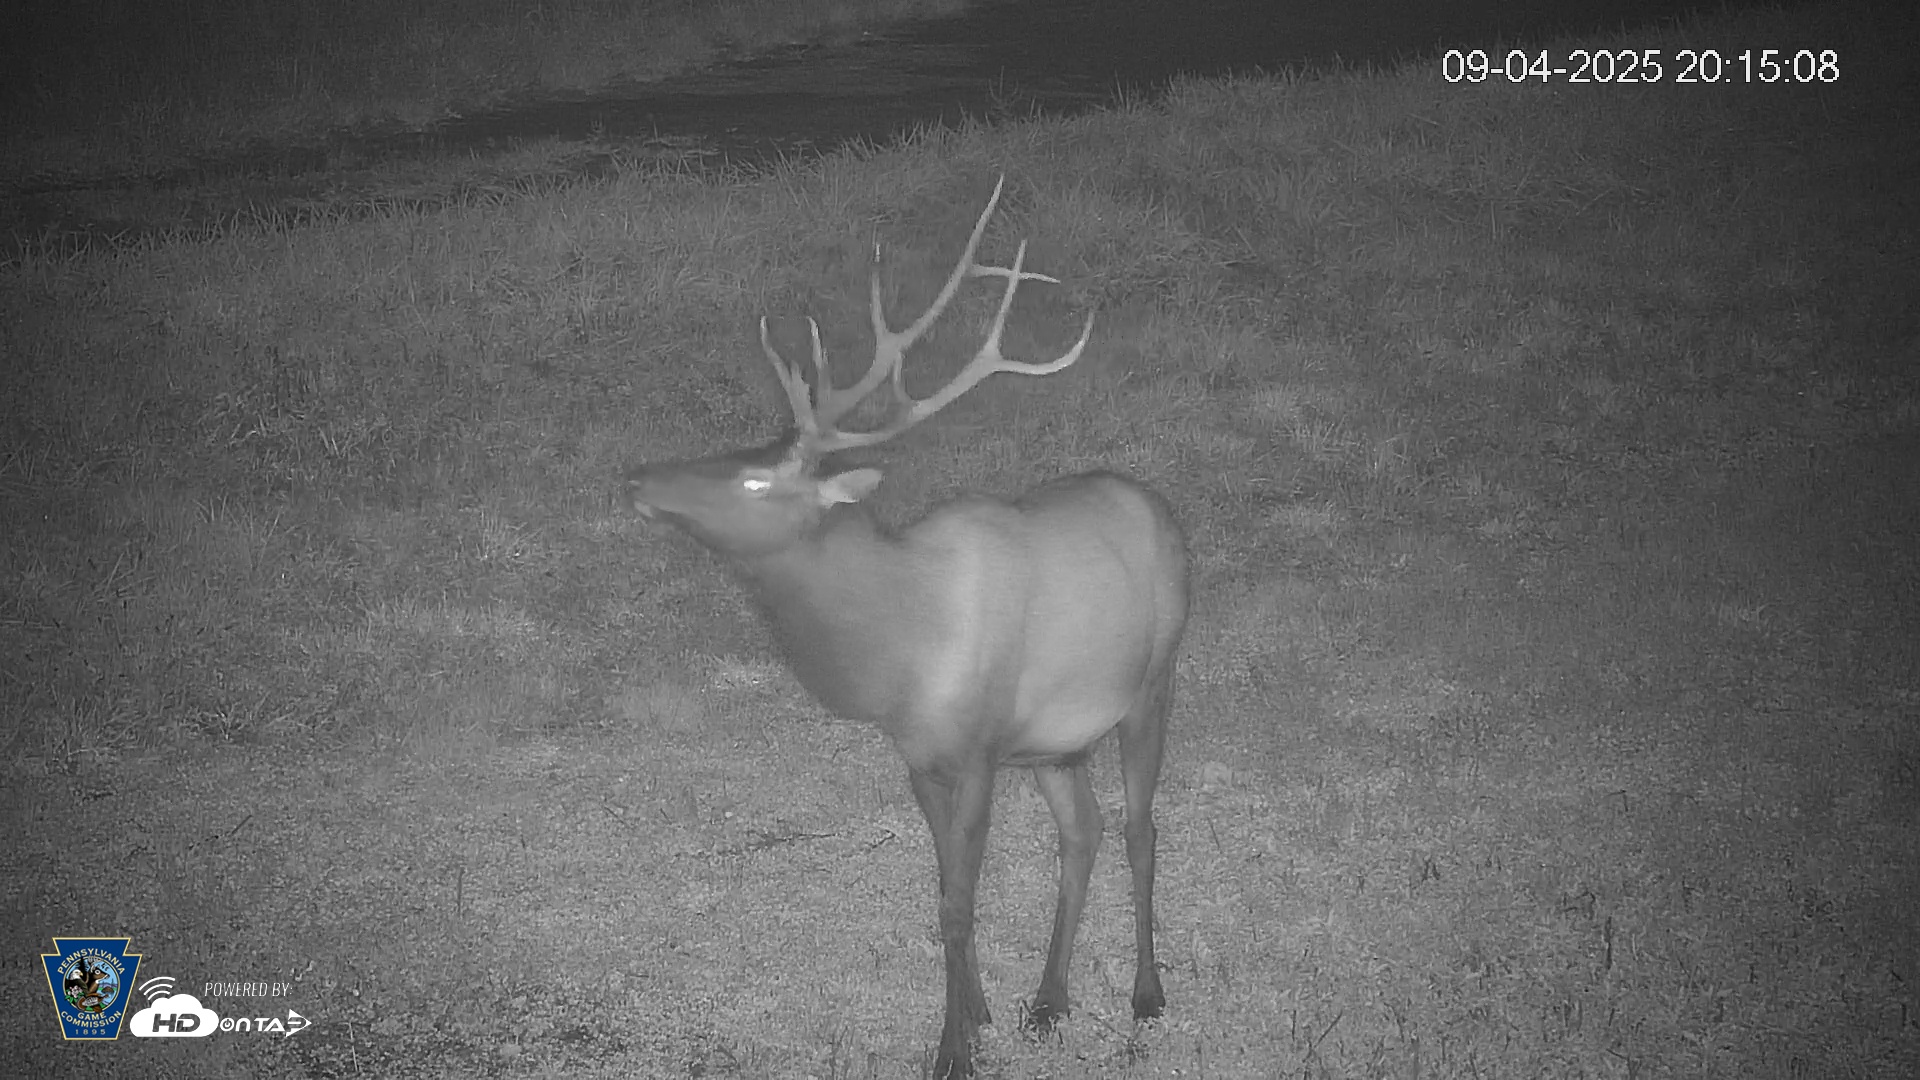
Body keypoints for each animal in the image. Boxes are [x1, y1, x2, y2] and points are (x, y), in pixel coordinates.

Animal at [623, 176, 1188, 1078]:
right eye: (737, 448)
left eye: (754, 482)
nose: (638, 478)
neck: (900, 648)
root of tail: (1160, 508)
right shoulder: (921, 756)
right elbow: (945, 892)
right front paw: (982, 1015)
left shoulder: (980, 747)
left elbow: (959, 902)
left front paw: (953, 1050)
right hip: (1057, 742)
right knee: (1084, 831)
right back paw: (1048, 1001)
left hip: (1153, 681)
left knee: (1140, 828)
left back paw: (1145, 995)